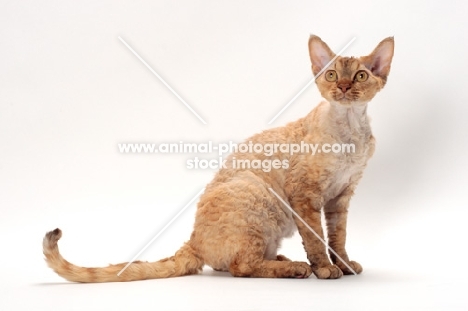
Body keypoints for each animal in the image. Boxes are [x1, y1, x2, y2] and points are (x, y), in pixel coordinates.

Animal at [44, 34, 394, 282]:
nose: (344, 86)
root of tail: (193, 240)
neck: (350, 131)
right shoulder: (305, 196)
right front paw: (324, 268)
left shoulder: (340, 197)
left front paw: (344, 265)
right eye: (332, 75)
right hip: (256, 195)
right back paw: (295, 267)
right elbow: (316, 238)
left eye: (360, 76)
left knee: (234, 264)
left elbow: (338, 236)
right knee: (242, 267)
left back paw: (282, 259)